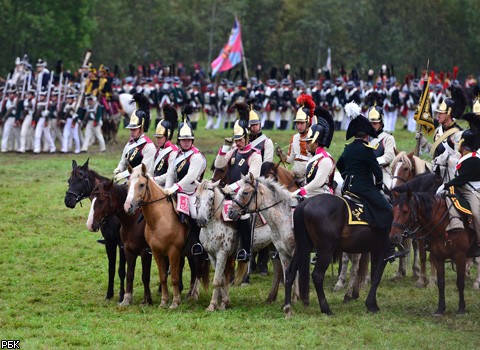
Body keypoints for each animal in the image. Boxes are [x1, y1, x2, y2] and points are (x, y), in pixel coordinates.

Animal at [65, 159, 125, 300]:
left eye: (80, 180)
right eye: (69, 181)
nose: (68, 201)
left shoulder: (122, 245)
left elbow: (121, 270)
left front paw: (122, 296)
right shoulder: (109, 242)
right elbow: (111, 268)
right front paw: (109, 295)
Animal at [124, 164, 208, 308]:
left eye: (141, 185)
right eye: (128, 184)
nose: (128, 207)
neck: (160, 220)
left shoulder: (173, 252)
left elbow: (174, 278)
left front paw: (175, 302)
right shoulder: (157, 252)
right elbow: (163, 277)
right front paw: (164, 302)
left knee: (199, 269)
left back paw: (194, 295)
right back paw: (190, 295)